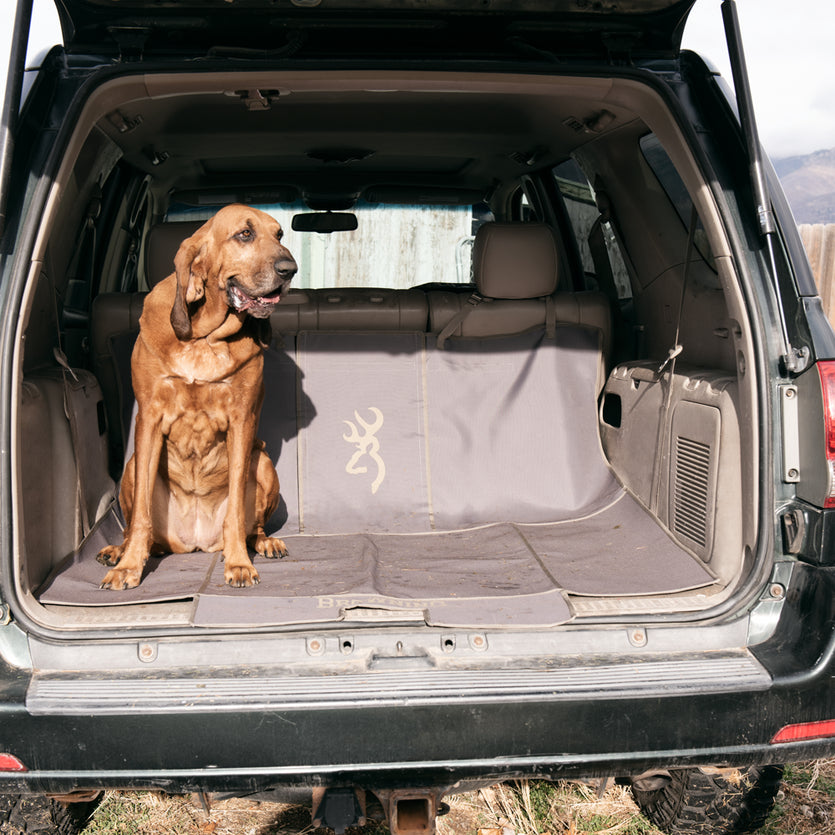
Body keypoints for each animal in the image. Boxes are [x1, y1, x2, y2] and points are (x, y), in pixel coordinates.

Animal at [97, 206, 298, 592]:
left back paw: (265, 543)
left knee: (253, 526)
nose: (289, 269)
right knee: (138, 527)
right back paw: (119, 550)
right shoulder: (149, 417)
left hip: (263, 462)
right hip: (132, 468)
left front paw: (238, 563)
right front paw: (128, 566)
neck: (204, 337)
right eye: (245, 234)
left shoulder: (242, 420)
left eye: (279, 234)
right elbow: (141, 515)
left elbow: (235, 511)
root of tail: (195, 541)